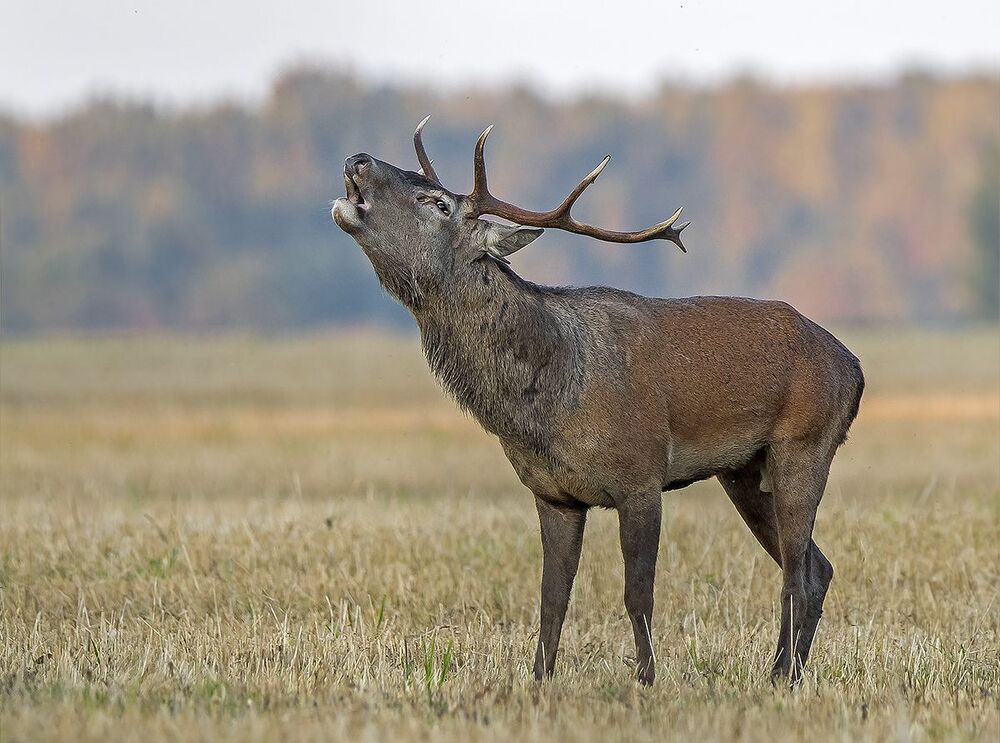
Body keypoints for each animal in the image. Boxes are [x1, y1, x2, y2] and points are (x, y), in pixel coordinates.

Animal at [331, 117, 865, 686]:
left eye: (438, 203)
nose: (359, 158)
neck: (551, 400)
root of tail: (854, 369)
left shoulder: (641, 477)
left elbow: (638, 595)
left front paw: (647, 679)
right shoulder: (554, 494)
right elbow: (552, 600)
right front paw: (539, 680)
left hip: (804, 446)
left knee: (797, 573)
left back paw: (781, 675)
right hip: (743, 471)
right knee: (816, 566)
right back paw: (785, 673)